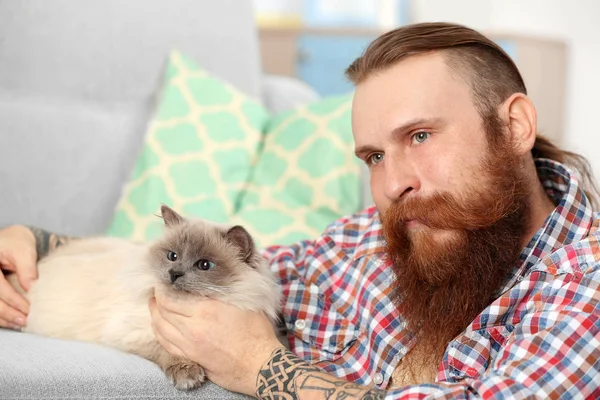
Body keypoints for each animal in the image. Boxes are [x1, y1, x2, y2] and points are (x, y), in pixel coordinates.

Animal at [7, 206, 282, 390]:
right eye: (172, 256)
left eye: (204, 265)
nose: (174, 273)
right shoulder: (132, 332)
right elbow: (165, 349)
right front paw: (188, 376)